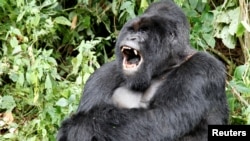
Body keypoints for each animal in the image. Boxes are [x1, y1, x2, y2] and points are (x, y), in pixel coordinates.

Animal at [56, 0, 229, 140]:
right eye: (131, 31)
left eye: (144, 32)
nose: (131, 38)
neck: (168, 63)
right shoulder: (103, 74)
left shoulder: (202, 68)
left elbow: (160, 118)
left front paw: (80, 127)